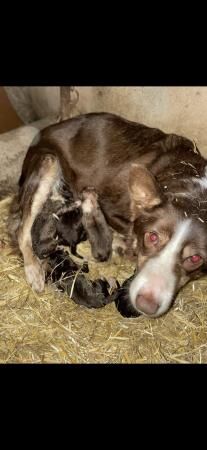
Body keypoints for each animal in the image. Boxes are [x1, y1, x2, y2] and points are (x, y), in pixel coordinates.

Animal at [8, 112, 207, 316]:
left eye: (195, 259)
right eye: (152, 237)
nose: (146, 305)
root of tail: (44, 132)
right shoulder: (107, 207)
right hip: (48, 162)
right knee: (22, 229)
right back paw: (34, 271)